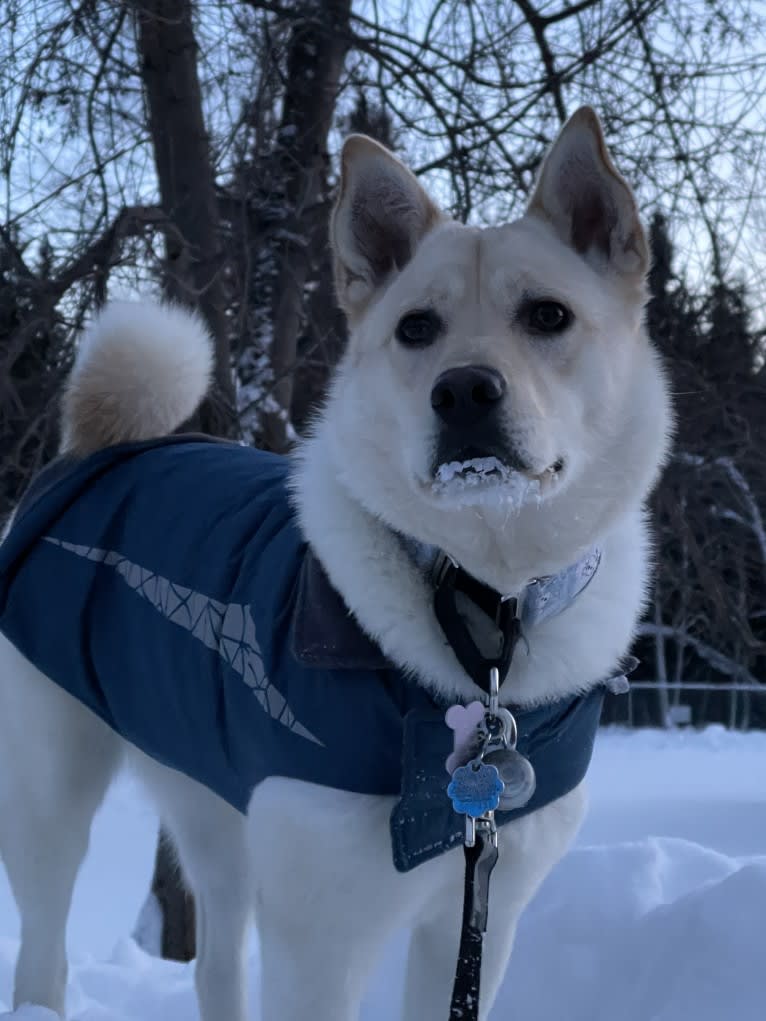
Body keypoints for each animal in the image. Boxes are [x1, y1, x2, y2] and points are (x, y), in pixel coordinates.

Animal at [0, 107, 669, 1016]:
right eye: (415, 327)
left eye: (548, 315)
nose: (464, 390)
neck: (480, 607)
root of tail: (91, 447)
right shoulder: (321, 938)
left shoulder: (477, 920)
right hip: (49, 798)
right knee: (43, 952)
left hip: (216, 804)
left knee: (214, 960)